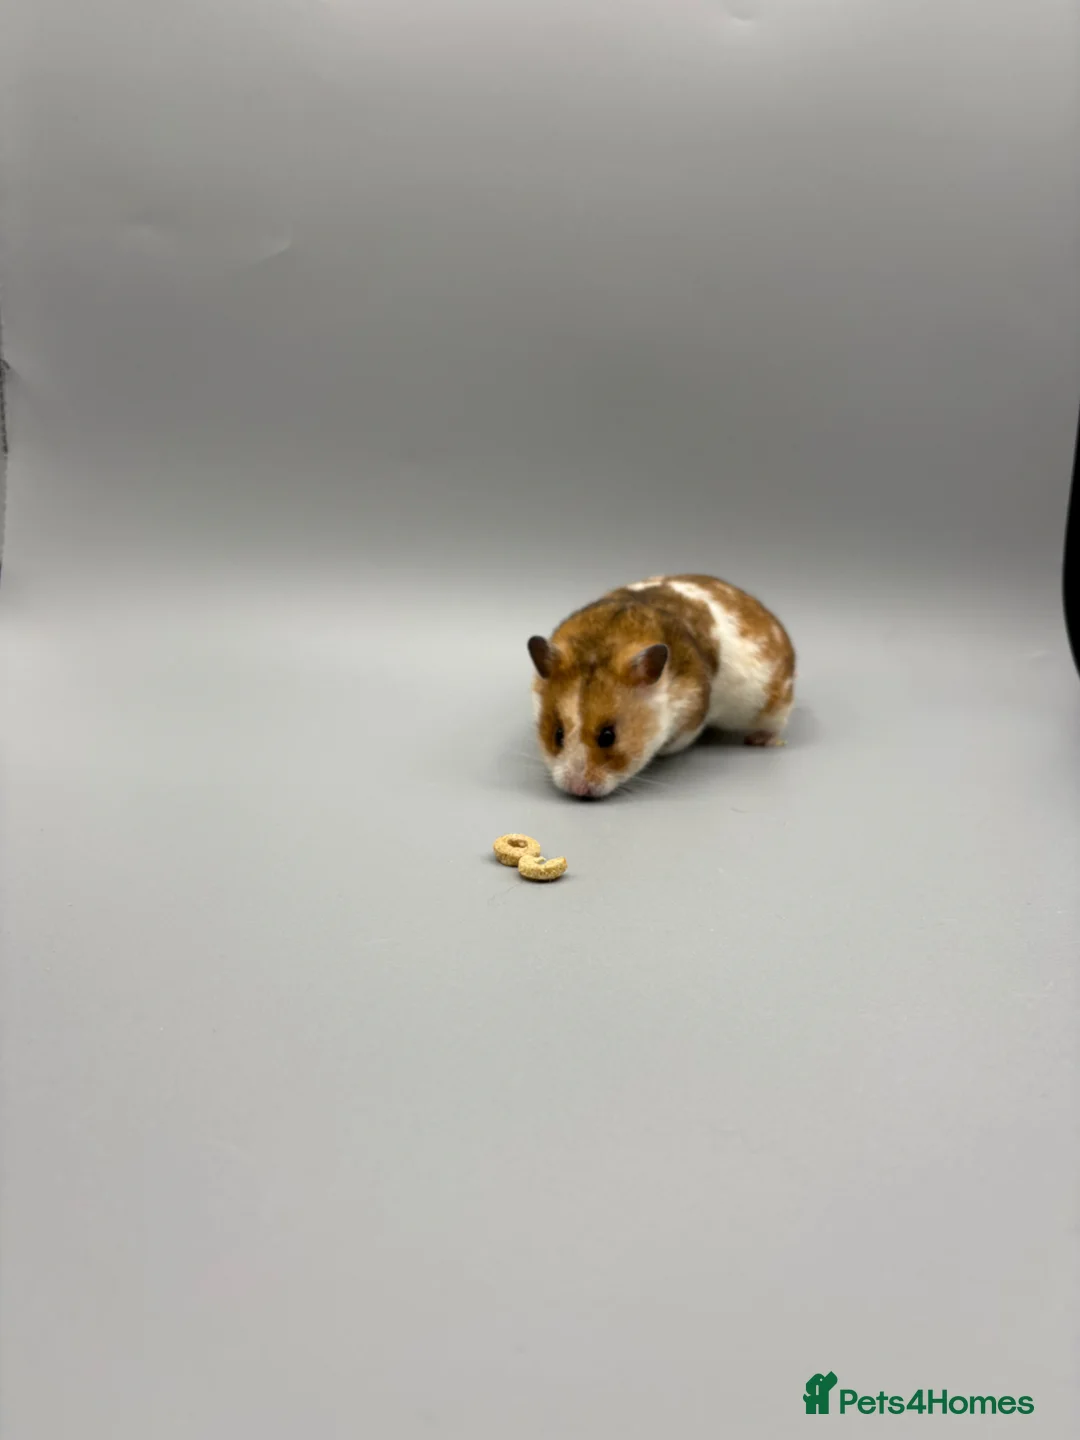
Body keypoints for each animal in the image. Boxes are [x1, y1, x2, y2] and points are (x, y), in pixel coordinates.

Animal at [527, 574, 795, 799]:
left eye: (608, 736)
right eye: (557, 734)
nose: (578, 790)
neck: (603, 642)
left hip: (775, 703)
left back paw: (760, 740)